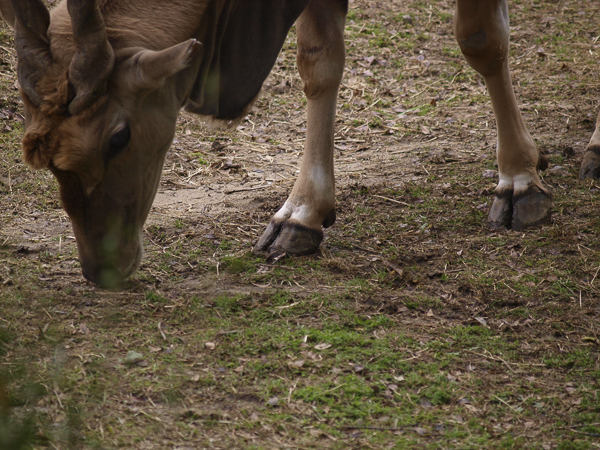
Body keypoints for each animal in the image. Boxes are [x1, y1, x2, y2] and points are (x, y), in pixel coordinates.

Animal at [0, 0, 594, 287]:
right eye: (45, 161)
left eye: (118, 136)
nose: (101, 269)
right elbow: (317, 59)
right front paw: (301, 216)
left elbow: (481, 39)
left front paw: (520, 181)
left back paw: (593, 149)